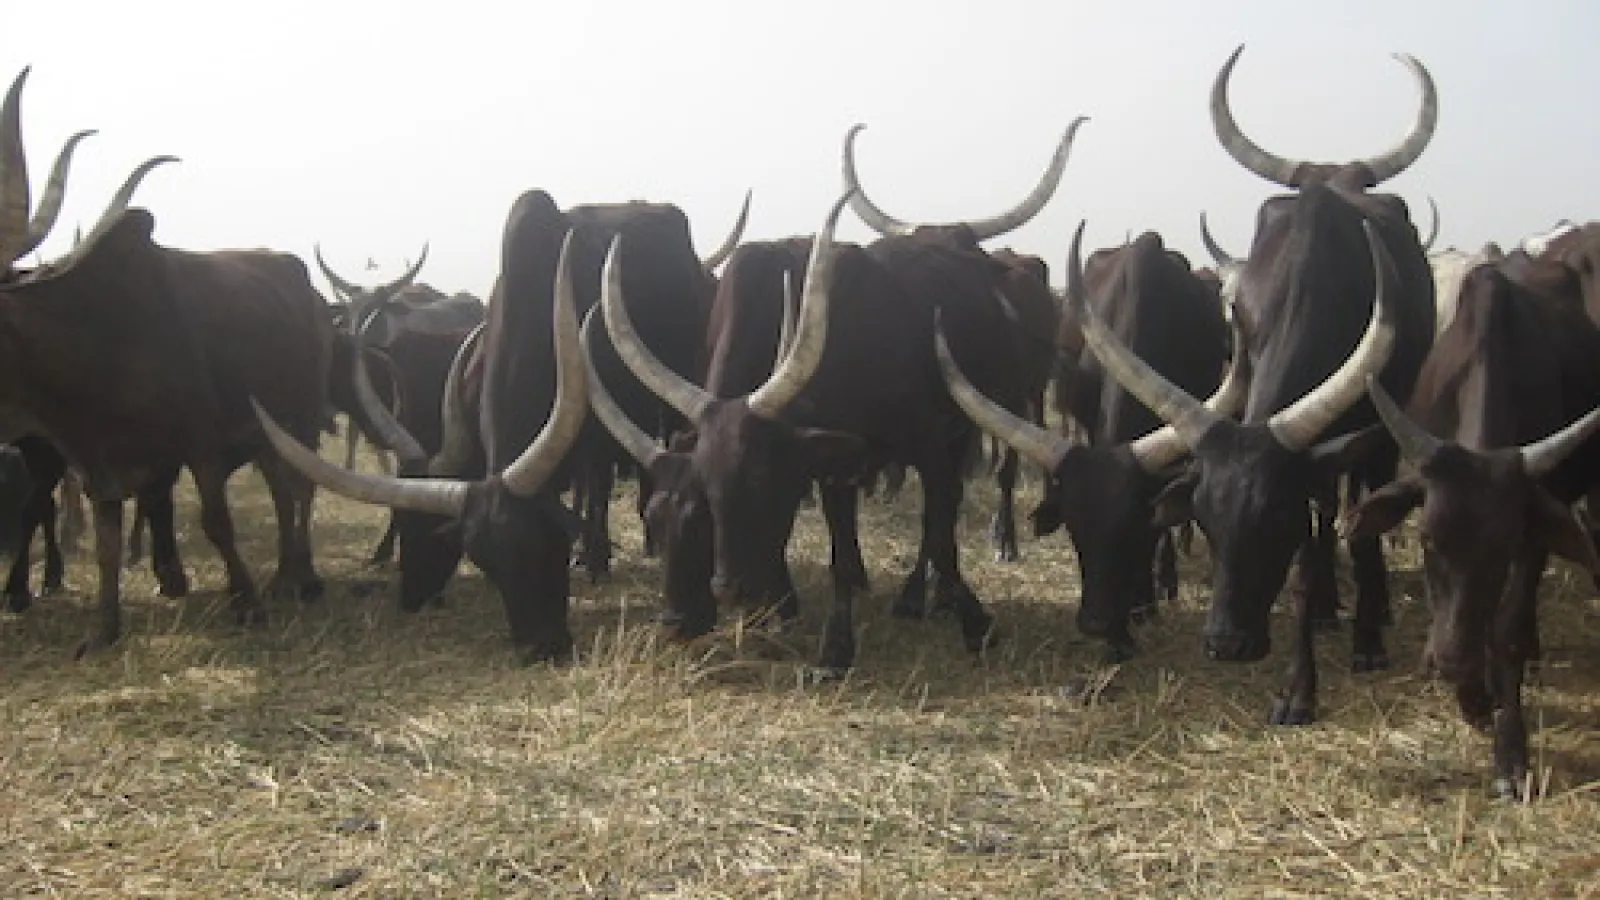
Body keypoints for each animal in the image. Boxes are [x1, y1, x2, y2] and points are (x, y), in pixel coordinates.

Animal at [1078, 46, 1438, 726]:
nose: (1227, 643)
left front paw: (1327, 669)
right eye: (1206, 517)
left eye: (1274, 519)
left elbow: (1348, 533)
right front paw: (1302, 670)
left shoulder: (1367, 436)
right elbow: (1312, 549)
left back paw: (1365, 618)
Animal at [1340, 252, 1600, 798]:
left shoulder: (1531, 538)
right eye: (1426, 539)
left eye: (1502, 548)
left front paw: (1508, 747)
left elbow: (1506, 631)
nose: (1452, 661)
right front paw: (1472, 694)